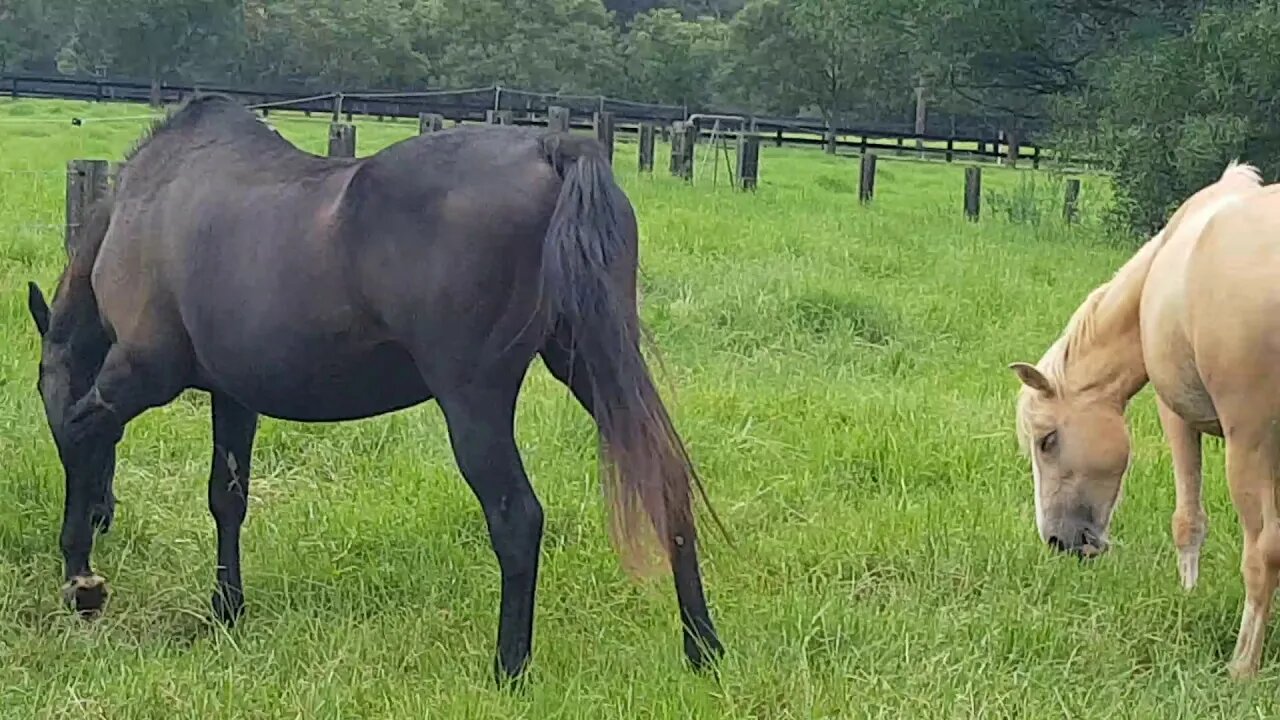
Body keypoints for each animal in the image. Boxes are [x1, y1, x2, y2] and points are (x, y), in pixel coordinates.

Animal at [30, 92, 727, 681]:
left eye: (43, 393)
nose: (106, 518)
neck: (142, 204)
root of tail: (550, 148)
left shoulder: (141, 374)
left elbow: (86, 432)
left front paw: (80, 579)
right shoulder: (235, 397)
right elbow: (227, 499)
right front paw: (226, 610)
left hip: (473, 400)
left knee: (517, 518)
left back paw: (510, 669)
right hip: (595, 362)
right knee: (666, 474)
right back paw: (703, 648)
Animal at [1003, 161, 1280, 676]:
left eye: (1047, 440)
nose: (1057, 540)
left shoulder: (1179, 419)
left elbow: (1188, 521)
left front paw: (1188, 597)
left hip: (1247, 445)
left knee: (1261, 551)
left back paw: (1242, 667)